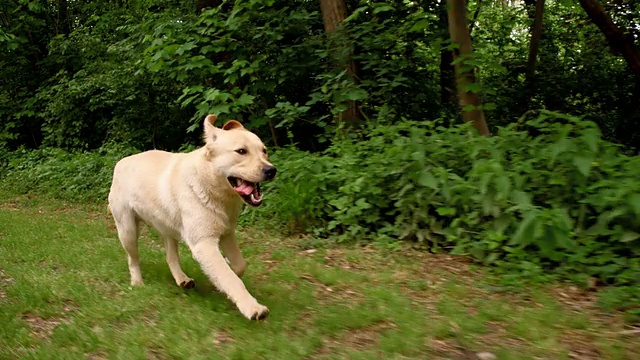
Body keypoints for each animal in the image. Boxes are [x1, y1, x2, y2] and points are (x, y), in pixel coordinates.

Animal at [107, 114, 276, 320]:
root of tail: (121, 162)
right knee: (133, 259)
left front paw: (218, 280)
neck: (210, 186)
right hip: (128, 230)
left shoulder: (227, 234)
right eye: (241, 151)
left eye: (264, 151)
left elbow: (238, 266)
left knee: (170, 257)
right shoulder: (204, 244)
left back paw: (182, 280)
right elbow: (231, 278)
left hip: (167, 228)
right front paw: (252, 307)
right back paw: (137, 283)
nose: (271, 170)